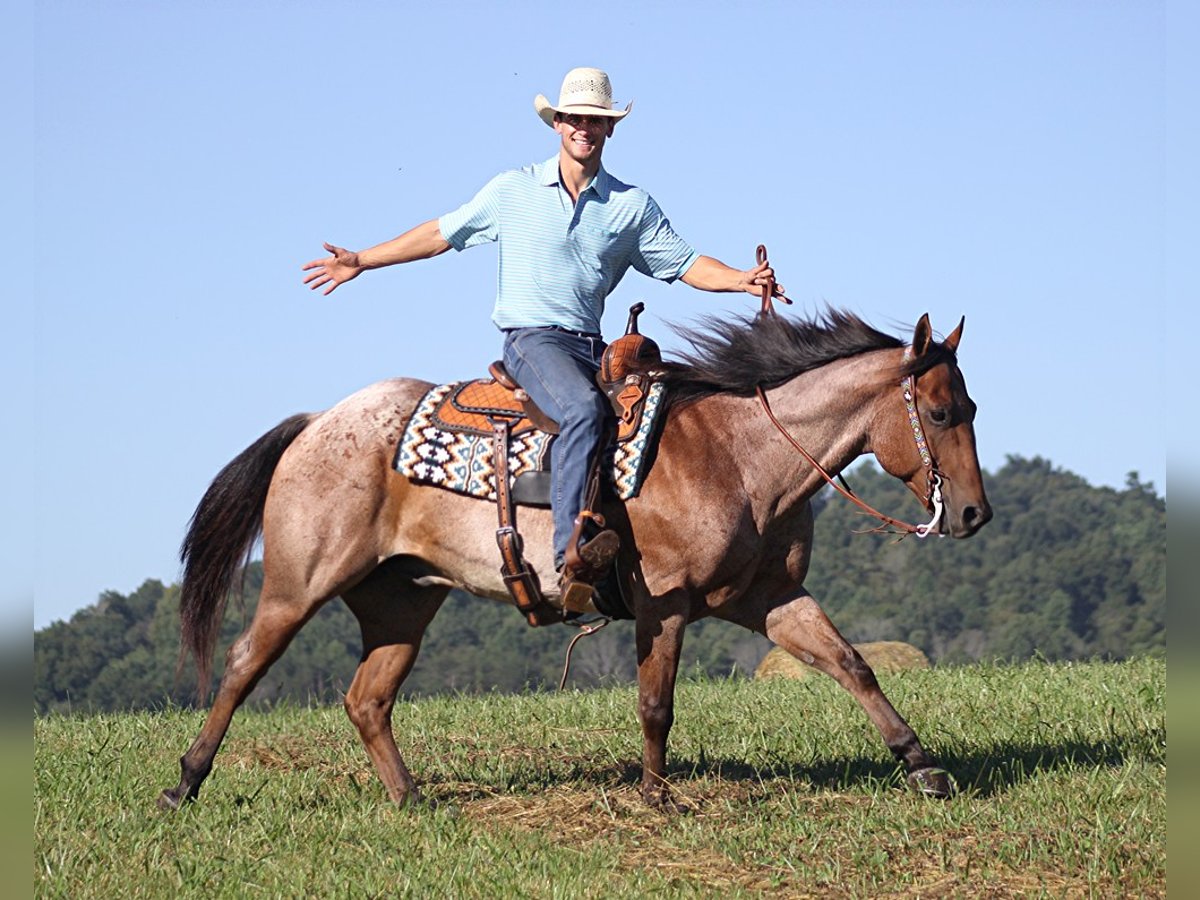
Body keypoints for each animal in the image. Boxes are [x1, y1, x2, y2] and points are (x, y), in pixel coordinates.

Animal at [159, 307, 988, 816]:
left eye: (971, 408)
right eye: (940, 411)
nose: (974, 514)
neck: (738, 454)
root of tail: (316, 422)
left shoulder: (771, 598)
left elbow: (853, 665)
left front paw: (922, 764)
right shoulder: (664, 603)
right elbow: (656, 704)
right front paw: (657, 797)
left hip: (402, 602)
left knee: (368, 699)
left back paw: (413, 799)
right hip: (300, 583)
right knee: (244, 662)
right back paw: (184, 784)